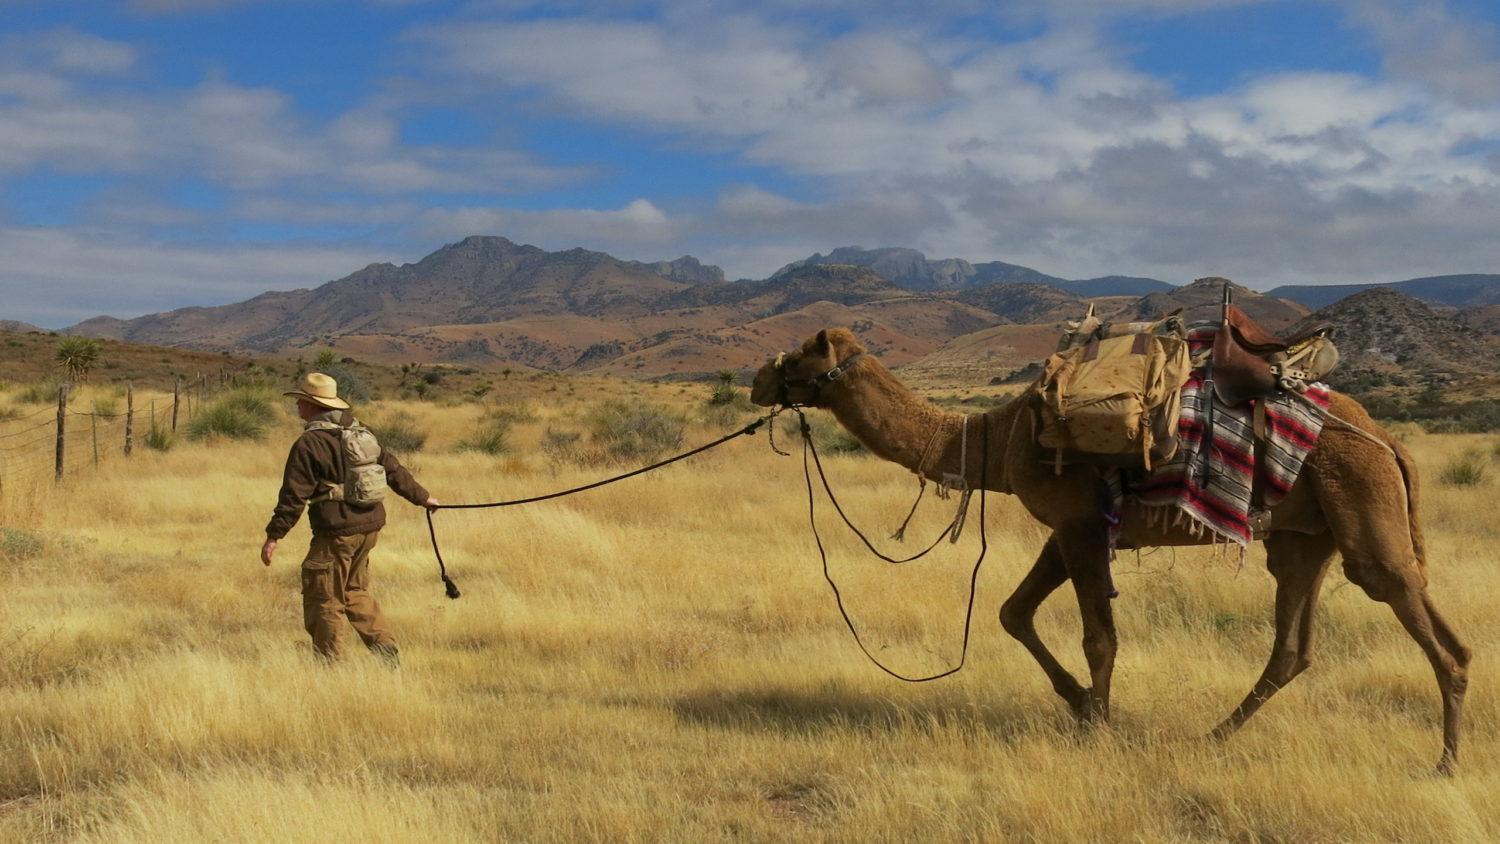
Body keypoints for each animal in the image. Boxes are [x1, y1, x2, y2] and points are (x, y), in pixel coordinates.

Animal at [750, 327, 1472, 774]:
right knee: (1292, 646)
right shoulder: (1065, 529)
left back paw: (1445, 762)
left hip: (1362, 502)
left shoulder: (1080, 525)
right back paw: (1213, 737)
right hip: (1305, 538)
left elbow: (1098, 637)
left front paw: (1099, 724)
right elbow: (1013, 613)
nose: (758, 378)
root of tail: (1389, 440)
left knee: (1429, 627)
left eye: (805, 356)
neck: (996, 438)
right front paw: (1080, 705)